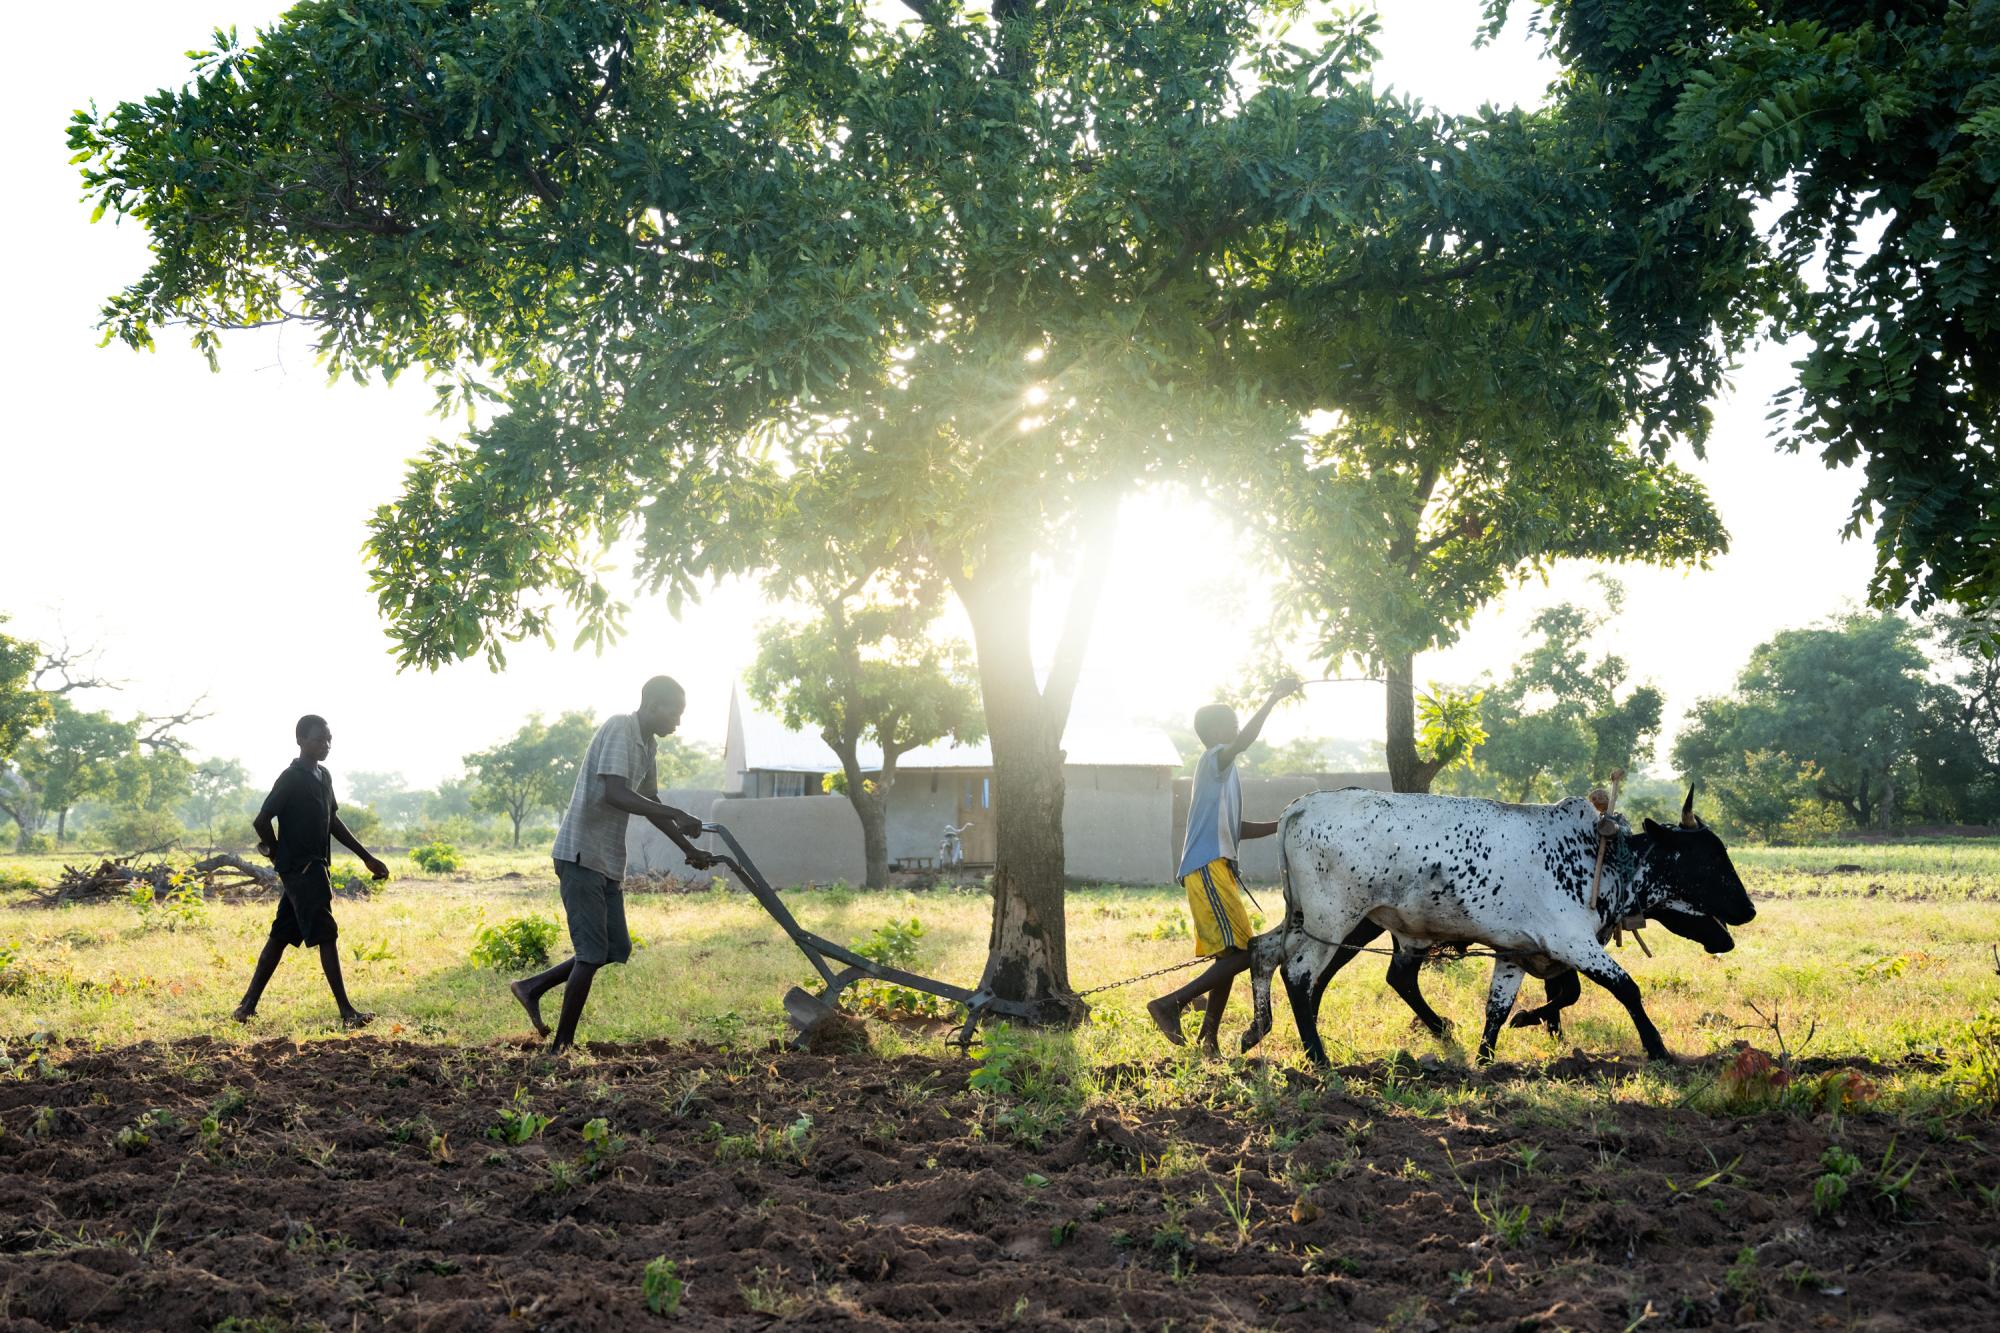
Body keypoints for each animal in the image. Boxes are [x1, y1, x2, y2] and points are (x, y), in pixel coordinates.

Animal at [1239, 787, 1755, 1065]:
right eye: (1710, 859)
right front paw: (1658, 1049)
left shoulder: (1516, 950)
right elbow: (1625, 989)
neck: (1603, 858)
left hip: (1311, 920)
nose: (1747, 911)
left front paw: (1487, 1058)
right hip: (1334, 919)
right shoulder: (1571, 941)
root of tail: (1298, 808)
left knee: (1264, 951)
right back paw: (1316, 1054)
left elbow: (1499, 1008)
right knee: (1300, 973)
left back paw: (1257, 1031)